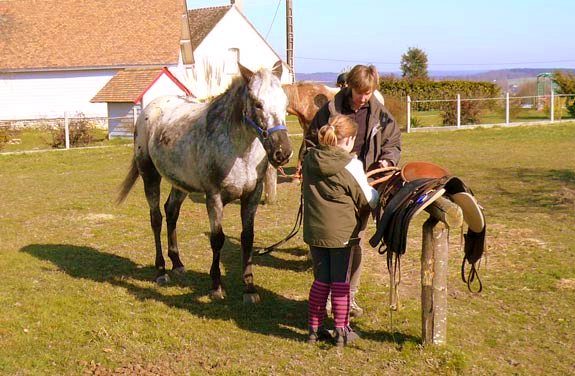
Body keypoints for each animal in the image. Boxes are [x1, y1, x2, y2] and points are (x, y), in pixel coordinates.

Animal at [116, 61, 292, 302]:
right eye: (258, 104)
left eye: (285, 102)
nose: (282, 153)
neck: (240, 152)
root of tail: (150, 109)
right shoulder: (214, 197)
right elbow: (217, 239)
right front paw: (216, 287)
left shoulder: (252, 196)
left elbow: (247, 238)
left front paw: (249, 288)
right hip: (150, 175)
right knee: (156, 218)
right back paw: (161, 271)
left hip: (180, 183)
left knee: (171, 212)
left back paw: (177, 264)